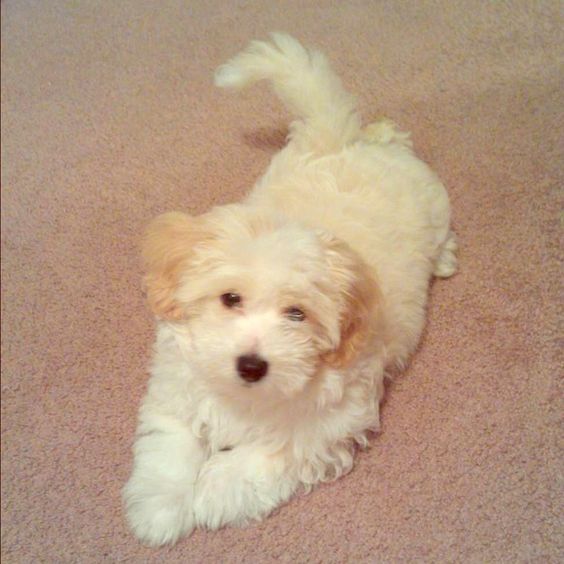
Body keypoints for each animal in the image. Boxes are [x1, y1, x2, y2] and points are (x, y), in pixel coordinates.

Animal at [124, 33, 458, 544]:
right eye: (230, 299)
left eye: (297, 314)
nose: (251, 365)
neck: (244, 399)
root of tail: (336, 143)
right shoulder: (178, 387)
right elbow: (172, 444)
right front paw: (160, 510)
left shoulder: (328, 422)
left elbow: (270, 454)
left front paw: (215, 493)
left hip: (432, 204)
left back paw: (444, 258)